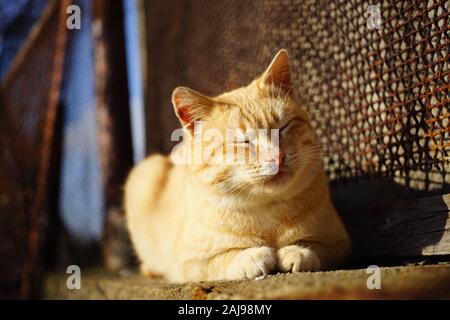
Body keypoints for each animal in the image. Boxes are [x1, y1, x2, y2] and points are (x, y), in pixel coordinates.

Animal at [124, 48, 352, 282]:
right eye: (242, 142)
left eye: (283, 127)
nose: (277, 156)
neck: (269, 211)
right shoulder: (191, 262)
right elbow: (224, 259)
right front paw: (253, 257)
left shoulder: (338, 242)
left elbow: (314, 247)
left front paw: (297, 251)